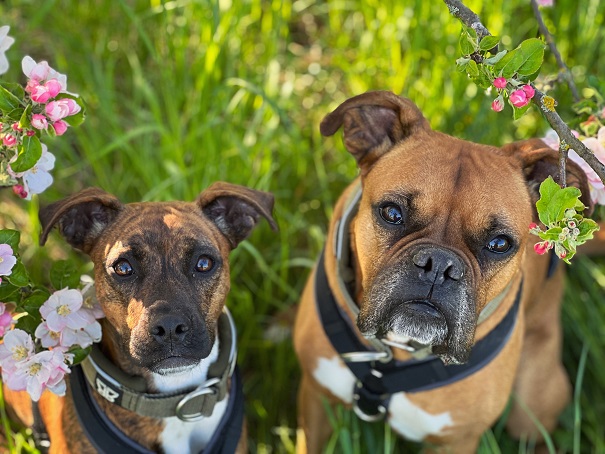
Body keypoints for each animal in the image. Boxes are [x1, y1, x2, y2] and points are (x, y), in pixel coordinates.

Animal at [294, 91, 594, 453]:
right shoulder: (315, 401)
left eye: (499, 243)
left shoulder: (458, 440)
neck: (397, 353)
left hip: (531, 408)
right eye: (392, 213)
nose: (438, 265)